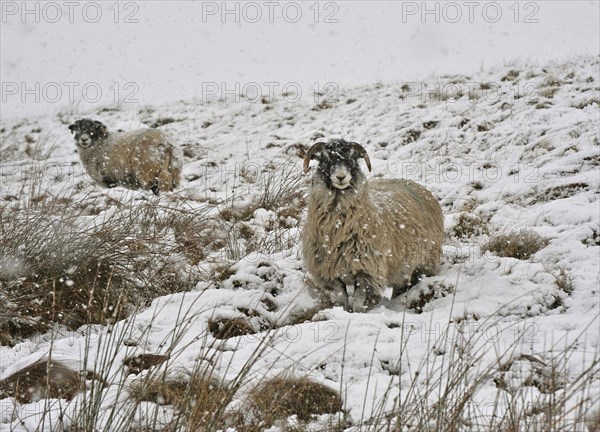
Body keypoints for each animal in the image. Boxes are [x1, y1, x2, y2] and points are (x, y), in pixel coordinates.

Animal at [302, 140, 442, 312]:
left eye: (352, 159)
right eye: (325, 159)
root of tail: (418, 186)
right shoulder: (330, 274)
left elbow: (358, 302)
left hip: (427, 260)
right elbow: (341, 300)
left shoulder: (367, 271)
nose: (341, 177)